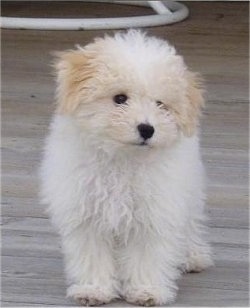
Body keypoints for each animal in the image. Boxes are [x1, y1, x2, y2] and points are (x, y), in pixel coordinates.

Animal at [40, 30, 212, 306]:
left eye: (160, 104)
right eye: (119, 98)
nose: (147, 129)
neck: (123, 159)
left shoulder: (154, 213)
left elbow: (146, 255)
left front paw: (146, 290)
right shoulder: (88, 214)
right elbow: (93, 255)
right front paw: (94, 289)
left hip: (190, 188)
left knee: (191, 222)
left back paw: (192, 256)